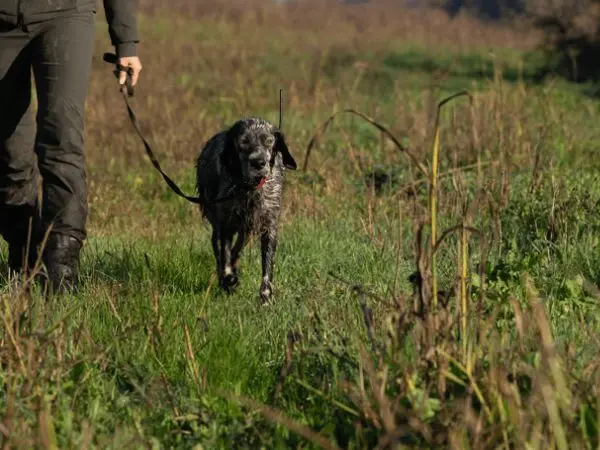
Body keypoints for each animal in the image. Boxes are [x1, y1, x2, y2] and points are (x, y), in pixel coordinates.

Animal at [196, 118, 296, 304]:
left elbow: (267, 269)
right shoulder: (225, 226)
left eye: (268, 140)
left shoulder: (269, 227)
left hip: (246, 230)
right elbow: (225, 258)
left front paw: (266, 297)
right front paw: (228, 279)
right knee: (219, 249)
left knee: (237, 249)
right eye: (243, 141)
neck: (250, 188)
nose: (258, 162)